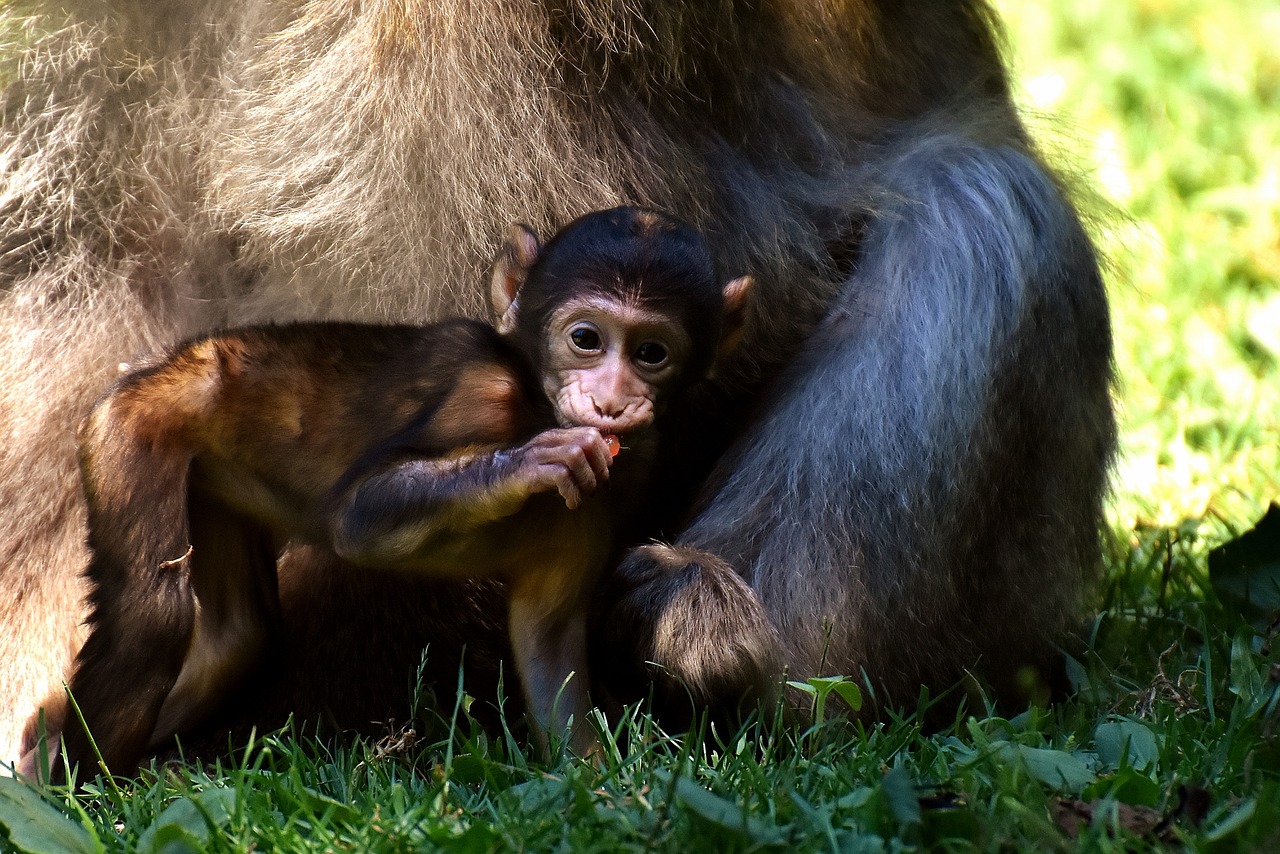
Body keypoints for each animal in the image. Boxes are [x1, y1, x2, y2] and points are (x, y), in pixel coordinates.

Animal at [62, 204, 747, 773]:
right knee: (153, 615)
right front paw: (530, 461)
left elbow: (549, 642)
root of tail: (182, 358)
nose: (611, 402)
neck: (534, 399)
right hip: (136, 424)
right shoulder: (480, 389)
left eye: (651, 353)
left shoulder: (623, 479)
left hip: (215, 477)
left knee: (239, 635)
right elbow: (359, 514)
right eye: (586, 338)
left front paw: (609, 791)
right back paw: (77, 789)